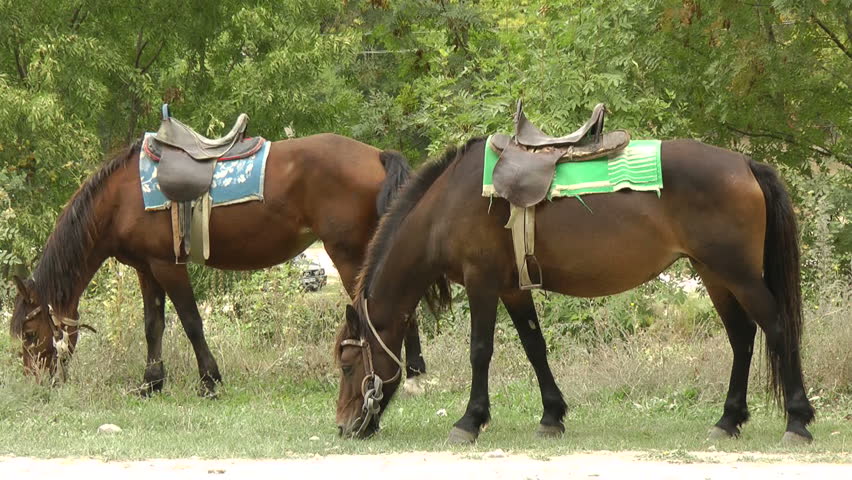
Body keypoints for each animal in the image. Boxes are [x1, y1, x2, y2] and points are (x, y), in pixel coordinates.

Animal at [10, 133, 429, 396]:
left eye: (29, 334)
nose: (35, 382)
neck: (121, 199)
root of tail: (376, 155)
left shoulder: (168, 265)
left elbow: (191, 322)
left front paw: (209, 381)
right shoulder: (146, 268)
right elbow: (153, 326)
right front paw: (151, 383)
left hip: (348, 253)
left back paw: (411, 375)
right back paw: (413, 373)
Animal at [334, 137, 815, 444]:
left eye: (346, 364)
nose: (343, 426)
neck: (450, 203)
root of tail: (746, 165)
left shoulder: (482, 282)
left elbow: (480, 350)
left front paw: (470, 421)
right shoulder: (513, 288)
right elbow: (535, 347)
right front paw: (552, 416)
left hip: (739, 274)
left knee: (777, 328)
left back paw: (797, 420)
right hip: (714, 274)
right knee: (742, 337)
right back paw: (728, 420)